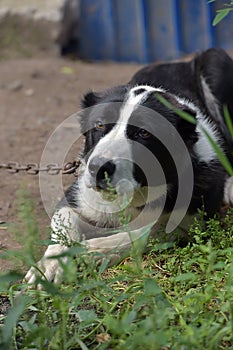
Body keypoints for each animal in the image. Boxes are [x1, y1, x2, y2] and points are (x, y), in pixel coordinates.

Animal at [25, 48, 233, 284]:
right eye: (99, 125)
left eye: (143, 133)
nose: (98, 169)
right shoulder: (77, 197)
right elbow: (66, 219)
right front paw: (51, 264)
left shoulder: (193, 219)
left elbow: (149, 230)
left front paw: (95, 250)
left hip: (216, 61)